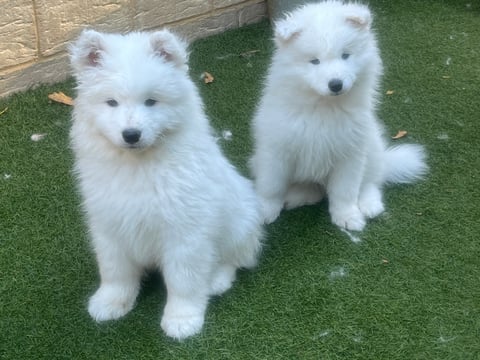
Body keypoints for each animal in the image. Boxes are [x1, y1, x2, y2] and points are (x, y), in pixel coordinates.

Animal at [69, 28, 262, 340]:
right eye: (111, 102)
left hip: (239, 223)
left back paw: (216, 280)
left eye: (151, 101)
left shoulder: (184, 232)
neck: (137, 166)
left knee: (236, 258)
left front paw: (182, 320)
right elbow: (115, 272)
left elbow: (183, 280)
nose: (131, 134)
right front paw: (110, 303)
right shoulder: (109, 227)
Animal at [251, 1, 428, 232]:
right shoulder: (276, 150)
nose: (335, 84)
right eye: (314, 61)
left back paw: (370, 205)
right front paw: (264, 211)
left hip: (371, 148)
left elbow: (345, 190)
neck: (323, 107)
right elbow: (271, 186)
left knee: (371, 181)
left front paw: (347, 217)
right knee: (314, 191)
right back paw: (294, 197)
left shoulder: (350, 154)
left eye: (345, 55)